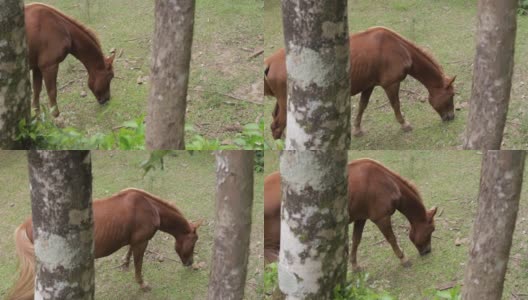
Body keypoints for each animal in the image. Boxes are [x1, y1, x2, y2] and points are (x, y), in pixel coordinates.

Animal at [7, 189, 201, 298]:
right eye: (194, 242)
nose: (190, 263)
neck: (150, 208)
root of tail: (26, 224)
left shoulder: (135, 240)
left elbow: (129, 252)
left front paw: (125, 264)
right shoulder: (142, 242)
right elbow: (139, 265)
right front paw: (142, 284)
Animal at [264, 159, 438, 272]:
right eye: (431, 230)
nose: (427, 251)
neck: (386, 182)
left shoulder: (361, 217)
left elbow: (356, 241)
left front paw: (354, 266)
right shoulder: (381, 218)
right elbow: (392, 239)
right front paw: (403, 259)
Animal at [266, 26, 456, 139]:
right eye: (452, 96)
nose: (451, 117)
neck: (399, 49)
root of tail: (270, 63)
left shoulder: (369, 85)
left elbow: (362, 106)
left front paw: (357, 129)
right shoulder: (391, 84)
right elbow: (396, 105)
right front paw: (404, 124)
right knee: (277, 125)